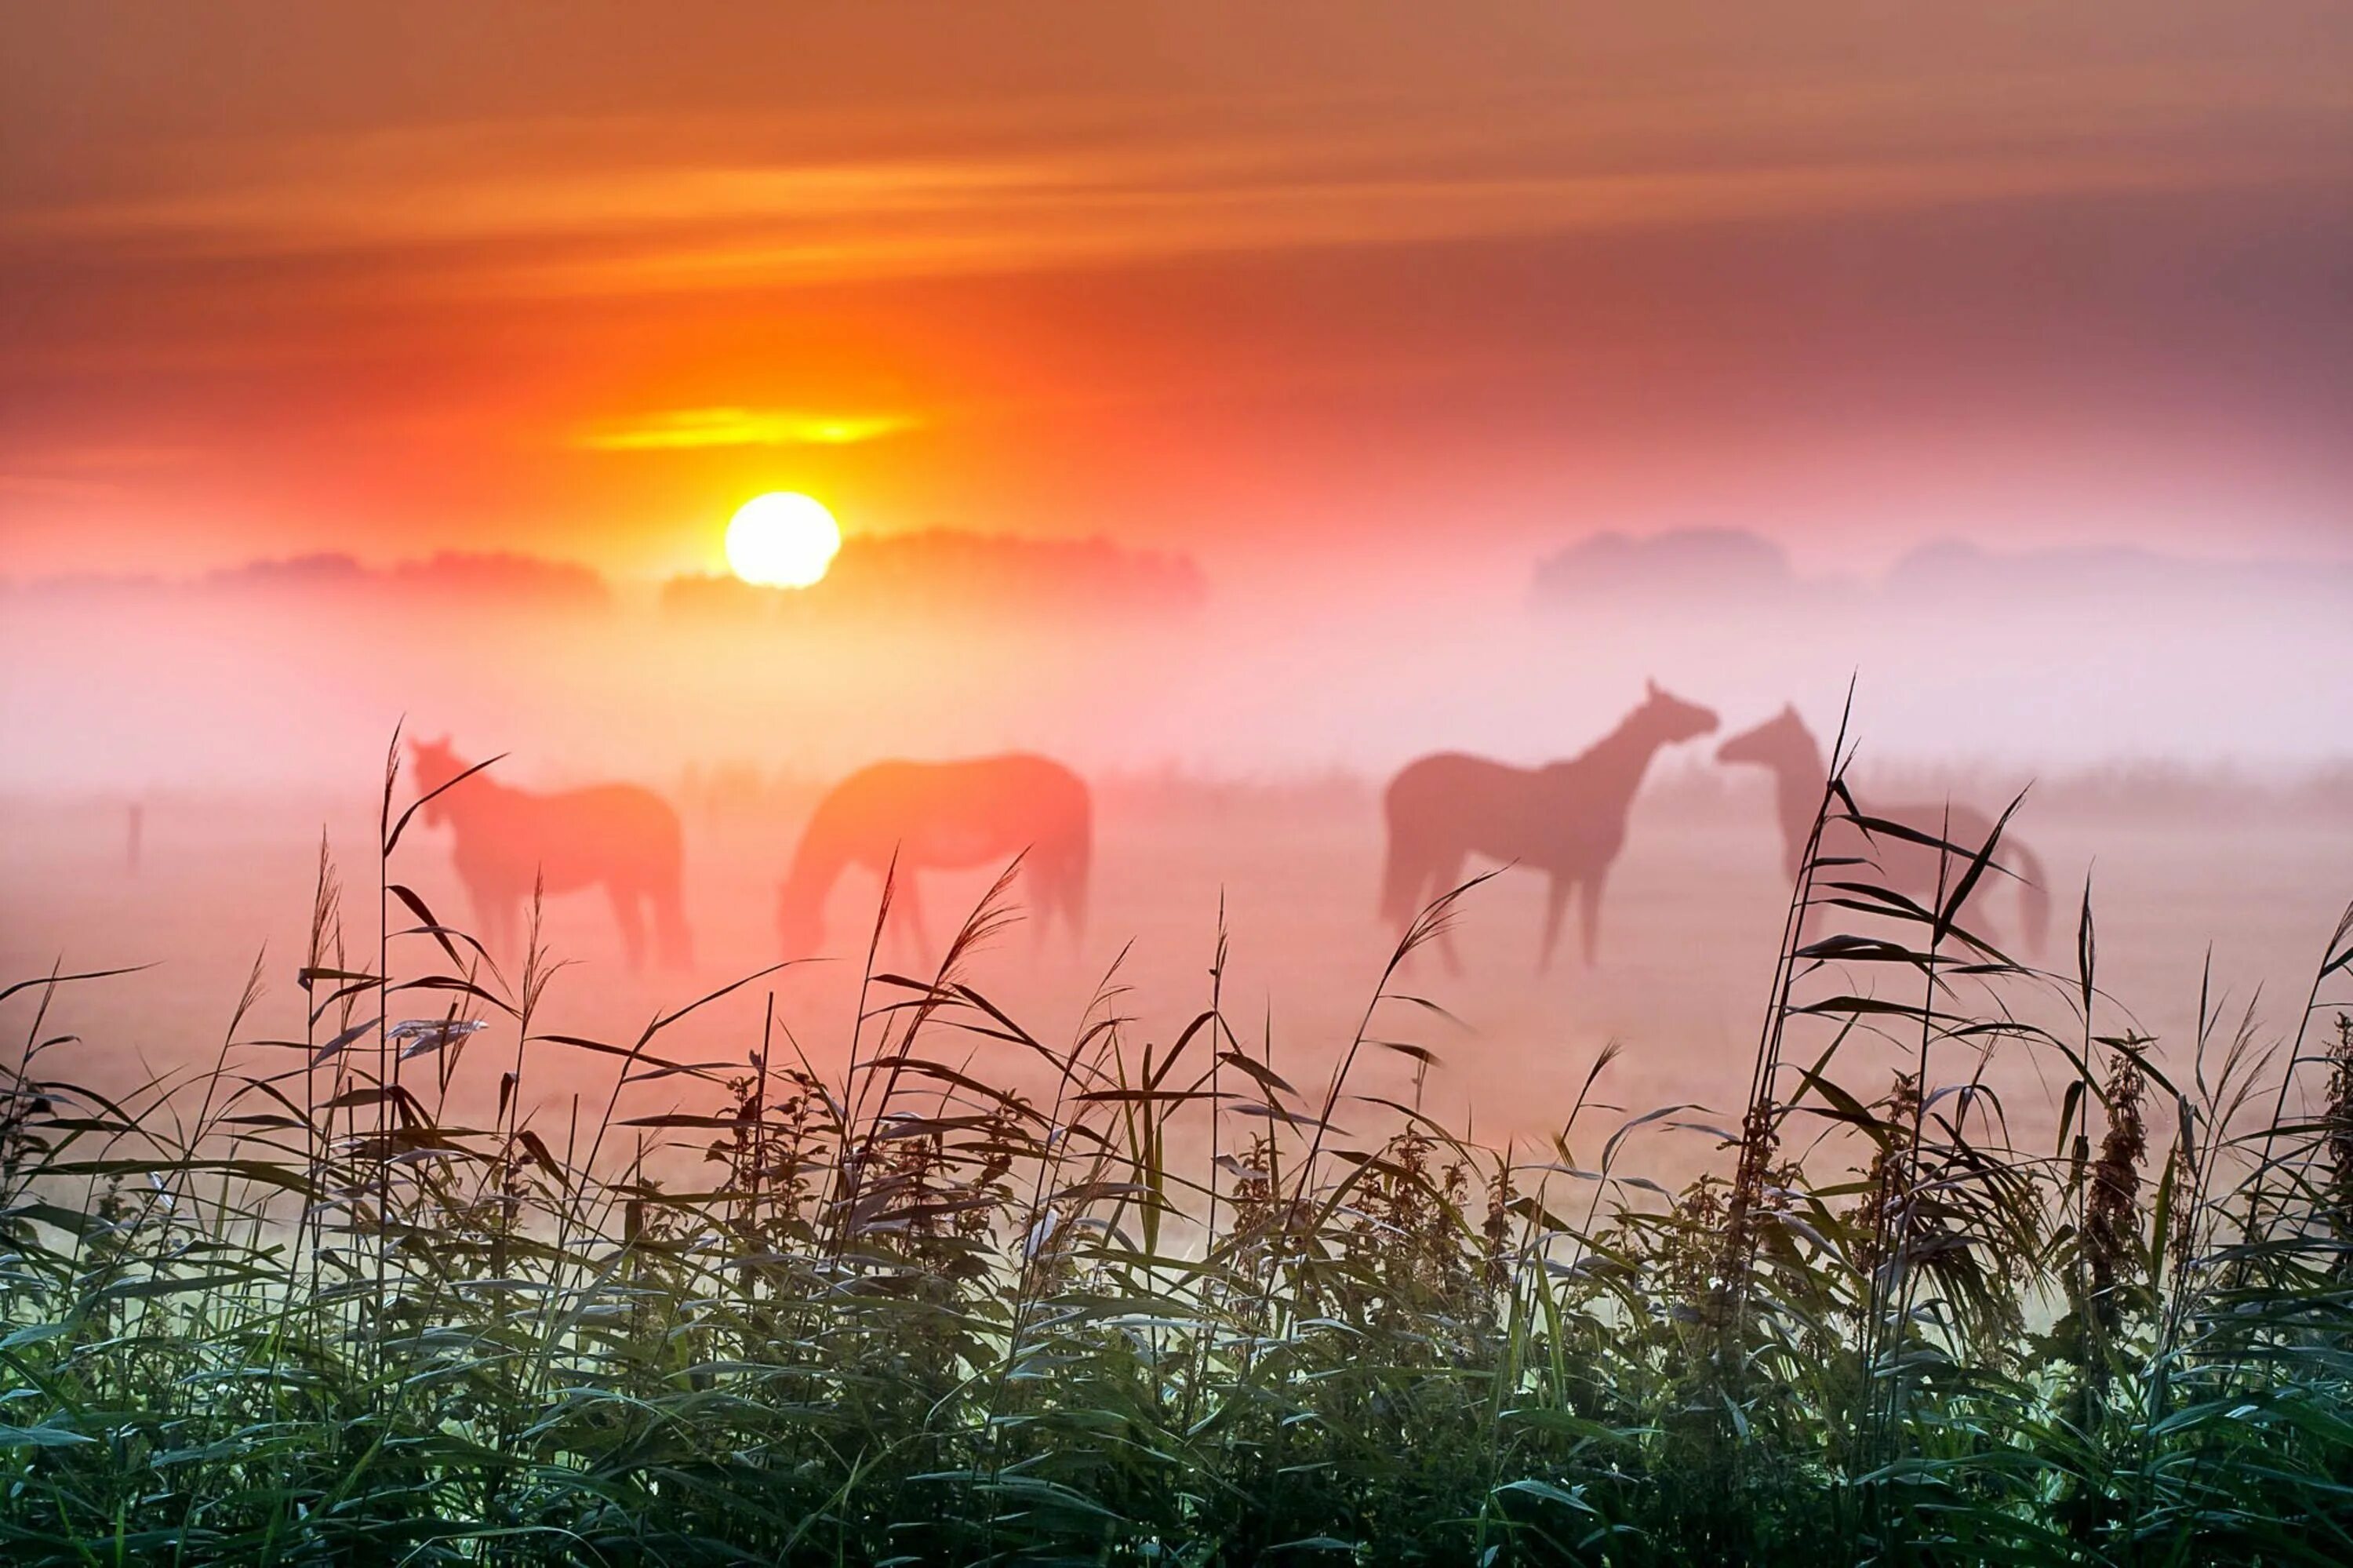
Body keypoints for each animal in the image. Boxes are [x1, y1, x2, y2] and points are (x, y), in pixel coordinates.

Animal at [407, 734, 687, 965]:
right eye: (418, 772)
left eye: (441, 771)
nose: (431, 818)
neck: (480, 817)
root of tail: (665, 810)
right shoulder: (481, 892)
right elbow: (488, 934)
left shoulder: (503, 892)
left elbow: (506, 935)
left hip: (629, 884)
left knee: (643, 928)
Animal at [781, 748, 1092, 951]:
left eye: (791, 920)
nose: (788, 966)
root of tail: (1075, 782)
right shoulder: (898, 871)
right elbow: (902, 919)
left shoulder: (902, 869)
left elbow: (908, 919)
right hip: (1049, 856)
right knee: (1064, 906)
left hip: (1048, 854)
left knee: (1053, 907)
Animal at [1374, 682, 1722, 970]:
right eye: (1674, 705)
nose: (1714, 717)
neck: (1604, 785)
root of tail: (1395, 784)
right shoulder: (1575, 870)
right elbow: (1565, 924)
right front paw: (1548, 974)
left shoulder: (1581, 872)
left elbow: (1579, 924)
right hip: (1443, 850)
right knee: (1426, 905)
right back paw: (1454, 973)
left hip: (1426, 852)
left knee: (1409, 904)